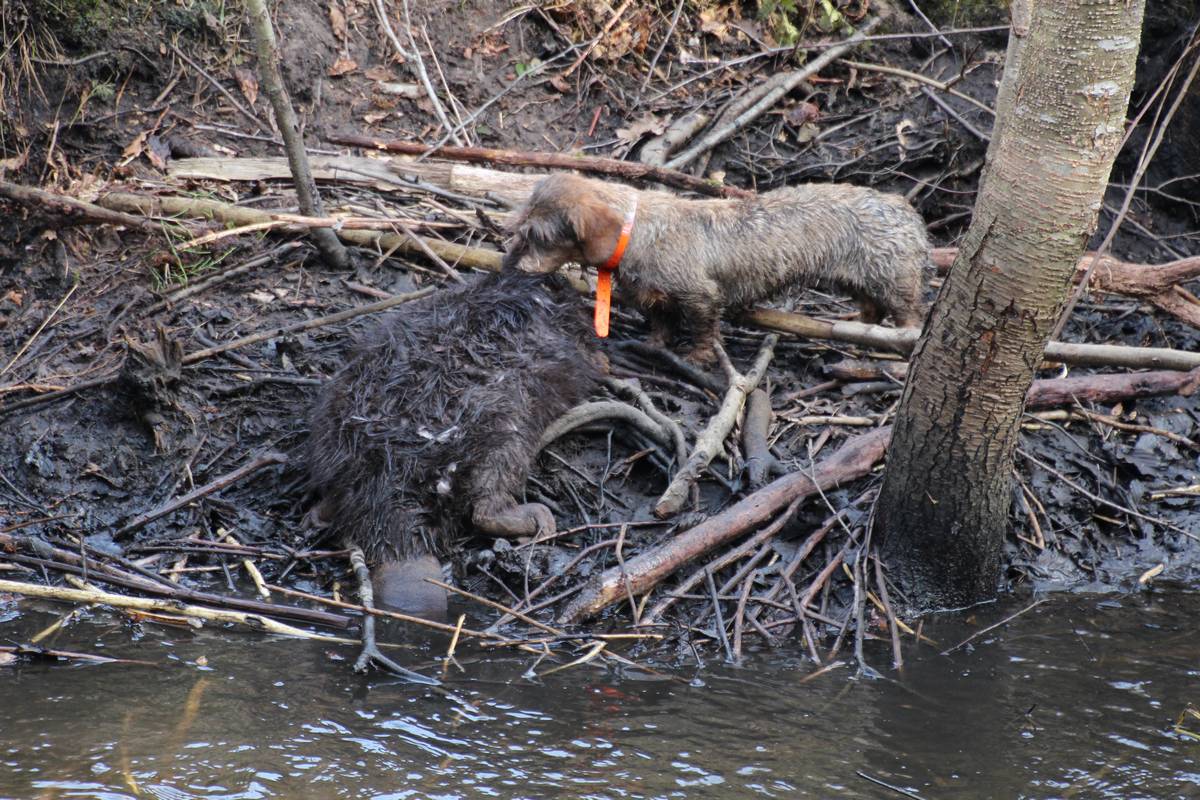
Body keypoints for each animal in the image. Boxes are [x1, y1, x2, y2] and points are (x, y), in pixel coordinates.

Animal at [501, 175, 931, 367]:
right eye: (519, 227)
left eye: (538, 236)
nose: (510, 269)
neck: (639, 230)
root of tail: (906, 211)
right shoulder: (654, 298)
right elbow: (660, 322)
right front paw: (655, 344)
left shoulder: (700, 296)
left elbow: (703, 327)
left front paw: (698, 356)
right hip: (857, 280)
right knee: (870, 308)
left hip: (894, 281)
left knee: (908, 315)